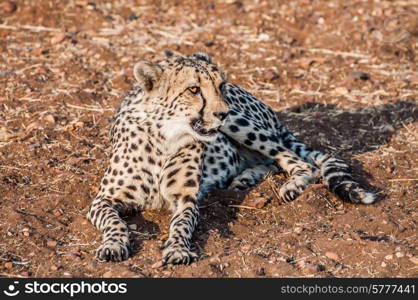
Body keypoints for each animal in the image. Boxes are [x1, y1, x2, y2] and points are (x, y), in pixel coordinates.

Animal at [85, 53, 376, 264]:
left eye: (219, 86)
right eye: (193, 90)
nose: (222, 112)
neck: (164, 137)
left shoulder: (186, 199)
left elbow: (182, 224)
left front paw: (178, 249)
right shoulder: (103, 200)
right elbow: (114, 223)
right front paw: (113, 245)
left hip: (243, 125)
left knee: (296, 160)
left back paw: (290, 185)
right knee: (271, 162)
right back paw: (244, 179)